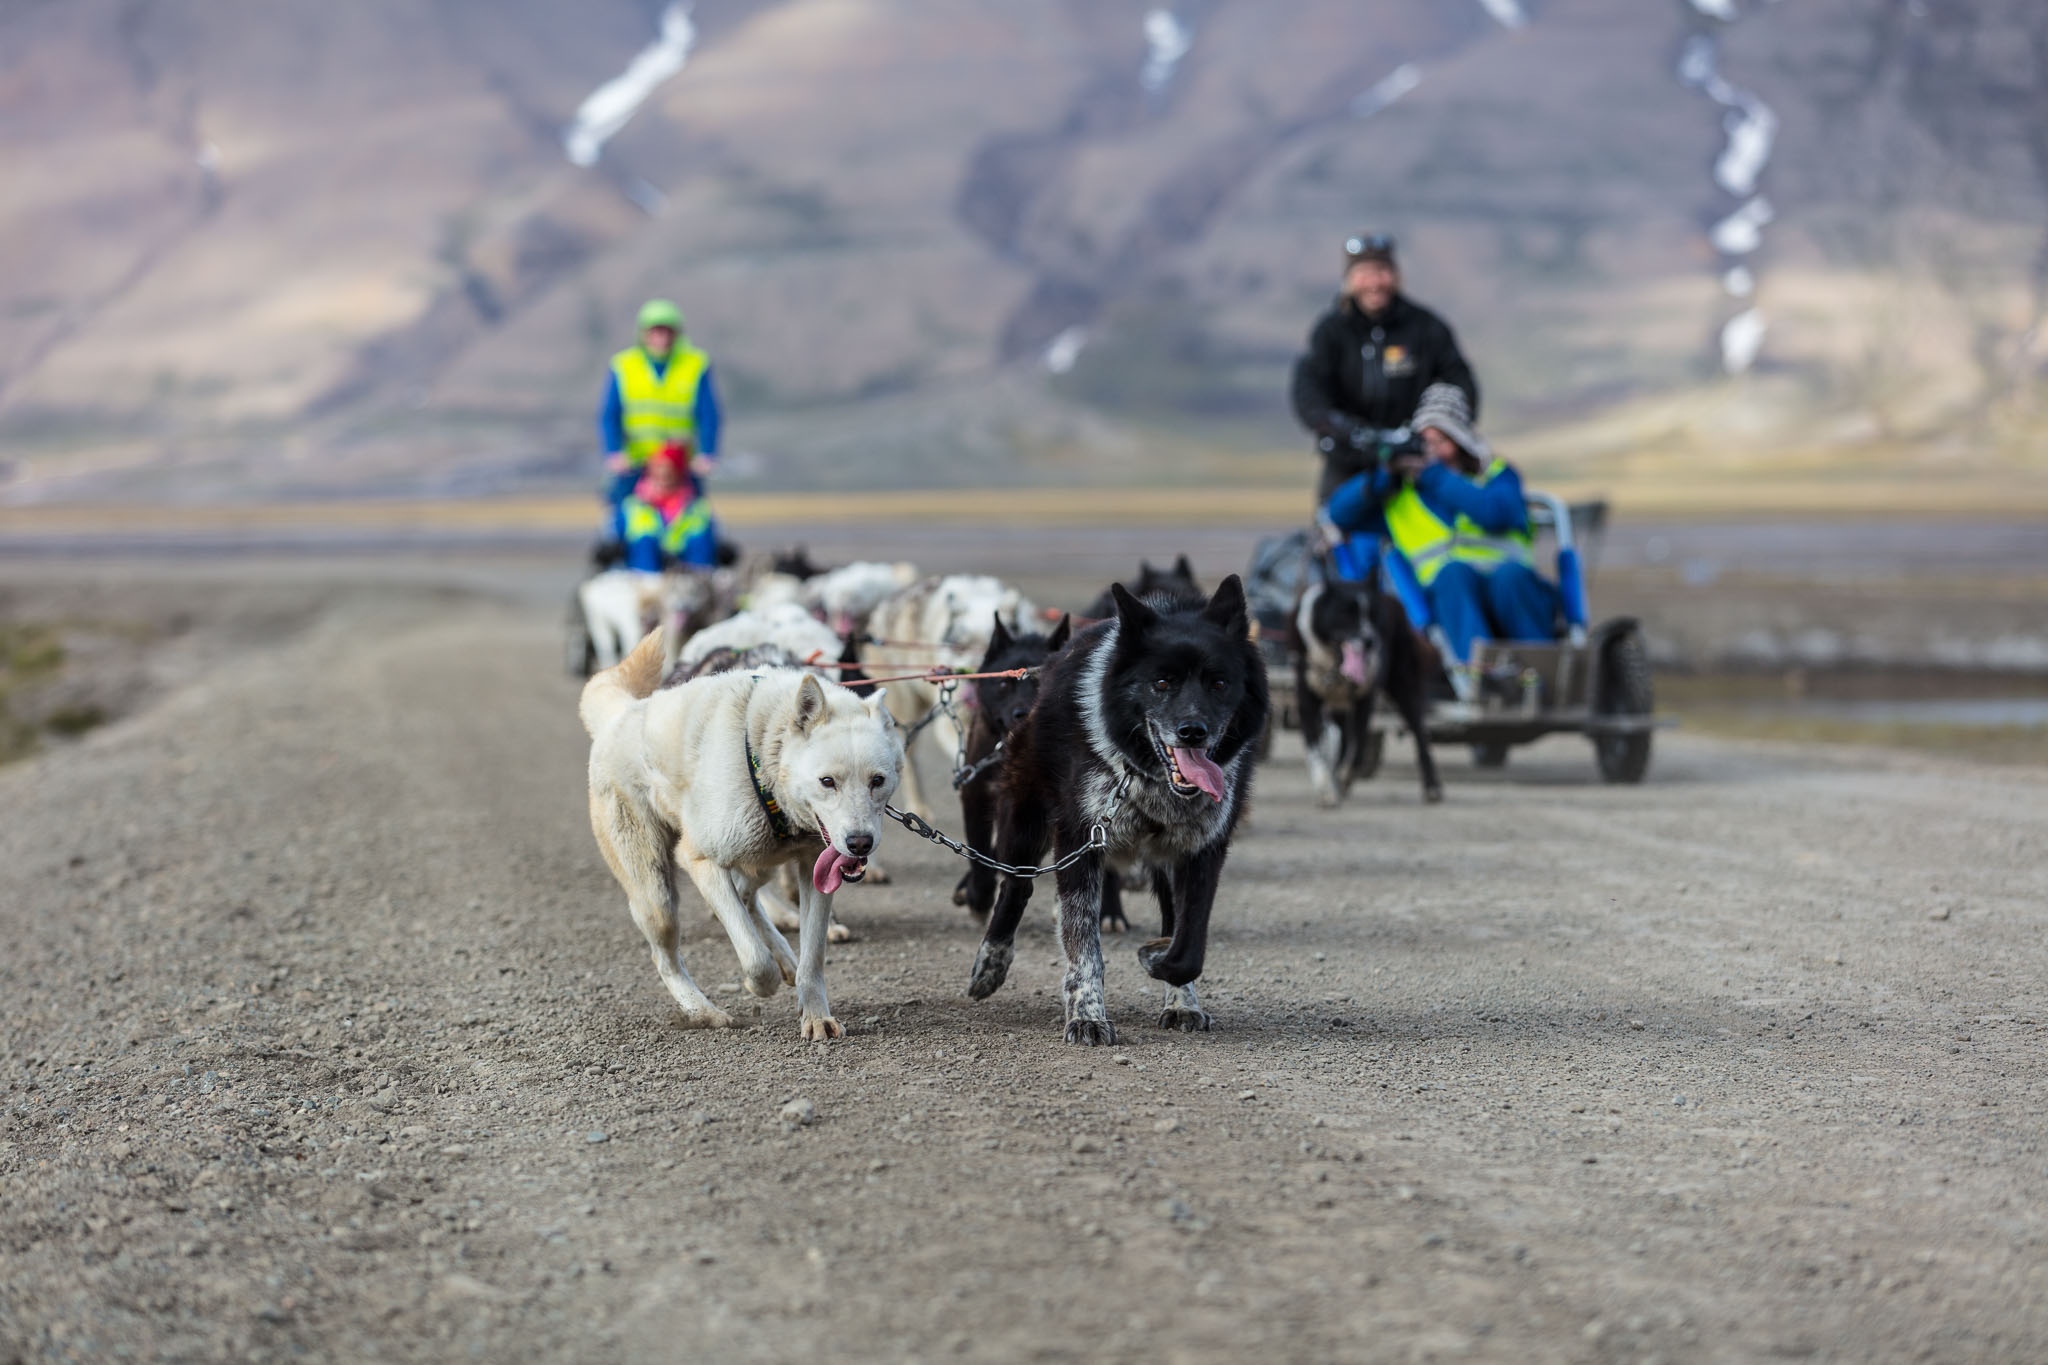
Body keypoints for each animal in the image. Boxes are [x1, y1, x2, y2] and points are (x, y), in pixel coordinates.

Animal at [580, 630, 903, 1037]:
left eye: (878, 780)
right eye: (827, 781)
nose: (860, 843)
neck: (764, 750)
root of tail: (621, 713)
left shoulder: (814, 869)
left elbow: (812, 959)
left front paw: (816, 1016)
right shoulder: (700, 861)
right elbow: (754, 959)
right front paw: (758, 983)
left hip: (756, 861)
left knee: (748, 898)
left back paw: (784, 955)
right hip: (659, 896)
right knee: (667, 957)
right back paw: (703, 1011)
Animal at [952, 612, 1073, 916]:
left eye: (1040, 685)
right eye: (1004, 684)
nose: (1022, 713)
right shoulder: (976, 795)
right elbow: (979, 850)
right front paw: (980, 895)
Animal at [965, 576, 1267, 1045]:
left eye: (1219, 683)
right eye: (1161, 682)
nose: (1193, 732)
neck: (1150, 779)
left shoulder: (1201, 851)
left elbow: (1187, 942)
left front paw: (1169, 979)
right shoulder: (1080, 840)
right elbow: (1084, 946)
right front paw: (1087, 1016)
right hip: (1025, 819)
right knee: (1015, 889)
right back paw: (990, 964)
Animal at [1293, 570, 1442, 806]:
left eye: (1373, 615)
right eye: (1346, 614)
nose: (1370, 640)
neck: (1334, 663)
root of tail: (1392, 599)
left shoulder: (1365, 699)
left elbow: (1359, 746)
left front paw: (1344, 777)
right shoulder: (1306, 700)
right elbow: (1317, 750)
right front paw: (1325, 786)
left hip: (1404, 687)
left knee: (1420, 735)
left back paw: (1431, 786)